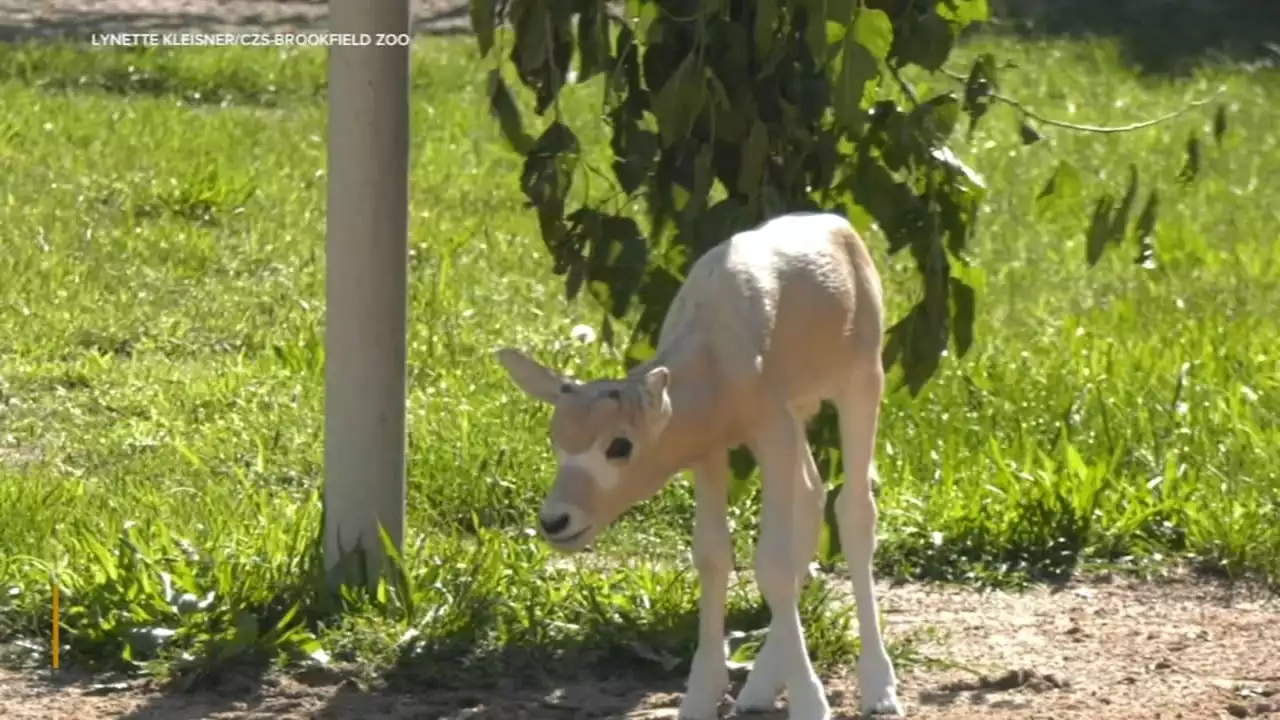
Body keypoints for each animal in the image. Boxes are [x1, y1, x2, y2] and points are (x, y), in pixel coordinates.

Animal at [494, 210, 906, 712]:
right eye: (557, 441)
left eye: (619, 446)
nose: (556, 521)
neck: (716, 350)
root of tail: (836, 227)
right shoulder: (710, 451)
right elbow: (712, 556)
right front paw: (700, 697)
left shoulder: (772, 430)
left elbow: (771, 563)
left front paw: (811, 704)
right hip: (798, 414)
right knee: (809, 496)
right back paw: (760, 687)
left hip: (861, 382)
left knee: (853, 509)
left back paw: (879, 687)